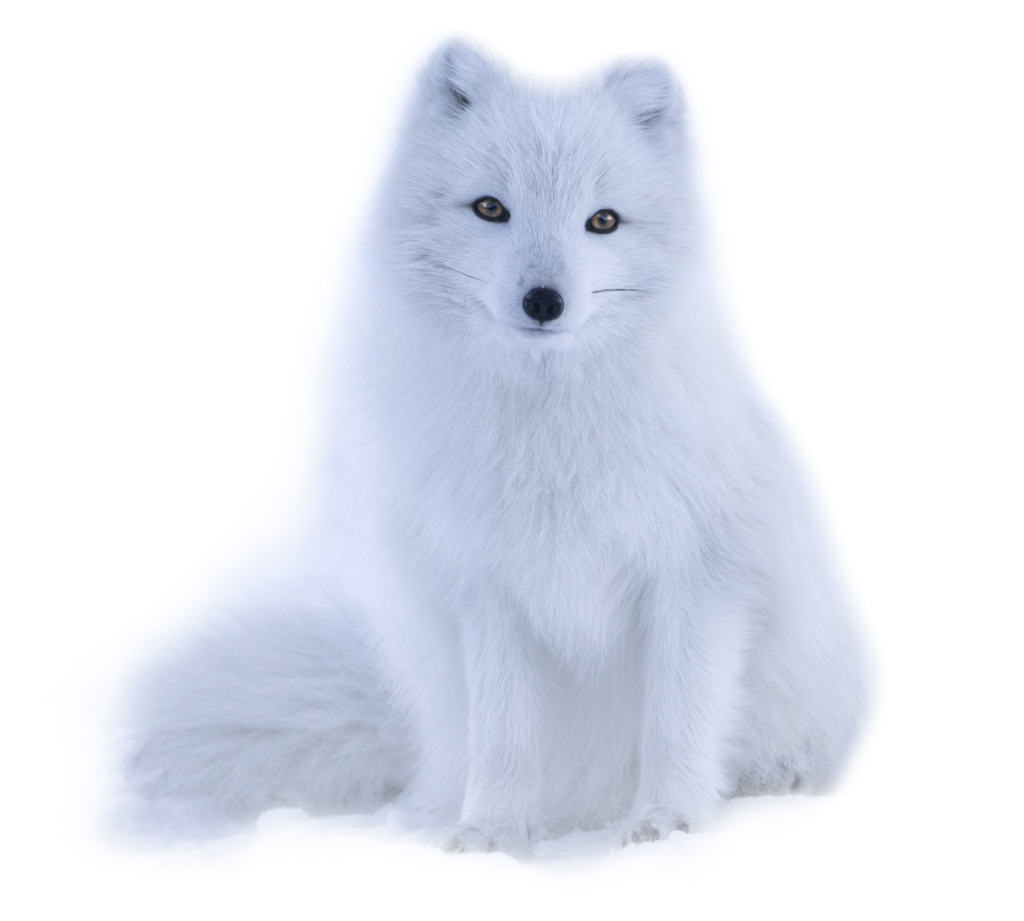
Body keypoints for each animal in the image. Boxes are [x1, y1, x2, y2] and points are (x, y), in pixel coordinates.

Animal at [51, 27, 886, 863]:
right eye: (491, 208)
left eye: (604, 221)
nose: (544, 301)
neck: (552, 436)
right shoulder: (488, 585)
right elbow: (506, 733)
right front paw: (491, 833)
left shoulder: (701, 575)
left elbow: (677, 718)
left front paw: (666, 822)